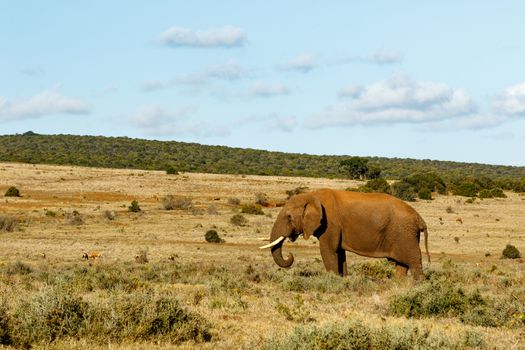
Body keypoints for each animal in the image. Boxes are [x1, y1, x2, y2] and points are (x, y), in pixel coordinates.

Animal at [260, 189, 428, 278]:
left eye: (289, 217)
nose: (290, 254)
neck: (312, 195)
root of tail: (419, 218)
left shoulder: (330, 224)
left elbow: (328, 250)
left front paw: (333, 280)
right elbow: (339, 253)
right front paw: (343, 279)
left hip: (405, 233)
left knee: (414, 261)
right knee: (402, 264)